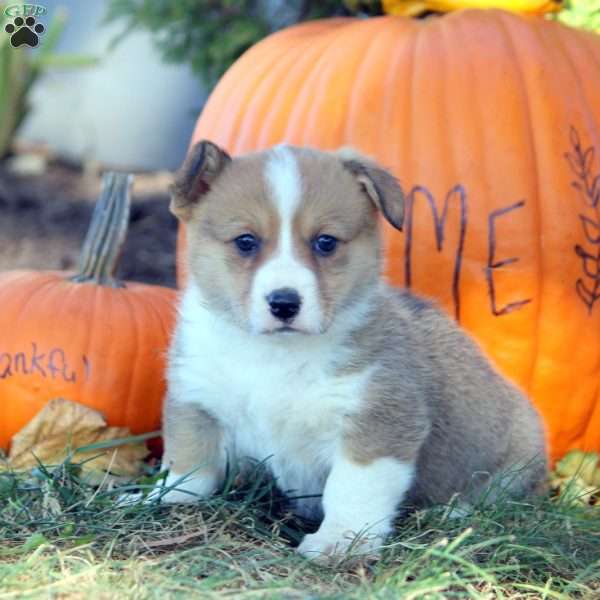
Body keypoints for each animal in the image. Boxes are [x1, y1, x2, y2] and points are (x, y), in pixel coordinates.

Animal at [159, 139, 548, 556]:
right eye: (245, 241)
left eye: (325, 242)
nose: (284, 303)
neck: (277, 355)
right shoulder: (198, 403)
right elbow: (189, 466)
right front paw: (160, 500)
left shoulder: (376, 425)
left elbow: (351, 490)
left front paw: (340, 541)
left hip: (518, 455)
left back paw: (453, 512)